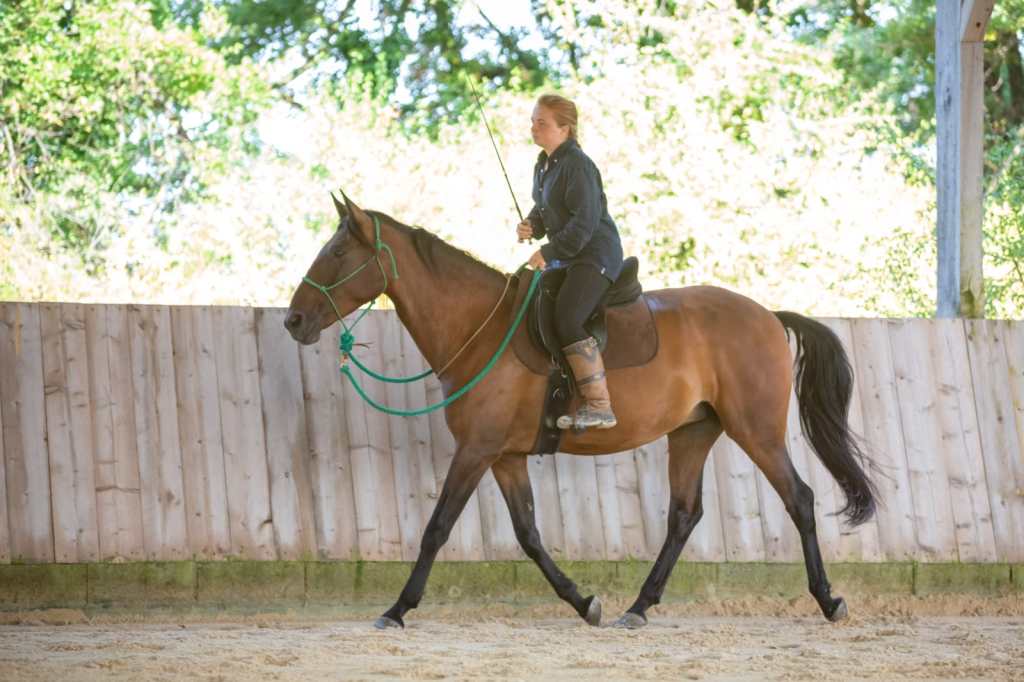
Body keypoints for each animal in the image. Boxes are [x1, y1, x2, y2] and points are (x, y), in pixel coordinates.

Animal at [284, 193, 878, 630]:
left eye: (337, 253)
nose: (293, 320)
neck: (481, 327)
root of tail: (768, 316)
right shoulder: (504, 456)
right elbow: (528, 534)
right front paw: (583, 602)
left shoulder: (476, 450)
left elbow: (438, 528)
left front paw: (397, 608)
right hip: (692, 432)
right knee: (683, 515)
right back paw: (638, 608)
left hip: (756, 431)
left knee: (799, 499)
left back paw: (828, 600)